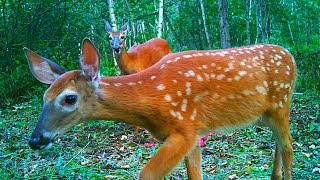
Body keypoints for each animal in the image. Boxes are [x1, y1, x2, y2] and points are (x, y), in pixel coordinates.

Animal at [26, 37, 296, 179]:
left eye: (69, 98)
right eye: (44, 96)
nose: (35, 139)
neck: (152, 100)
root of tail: (291, 56)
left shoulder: (185, 128)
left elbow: (147, 173)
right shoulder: (191, 133)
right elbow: (195, 175)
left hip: (282, 103)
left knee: (289, 146)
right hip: (266, 114)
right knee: (279, 144)